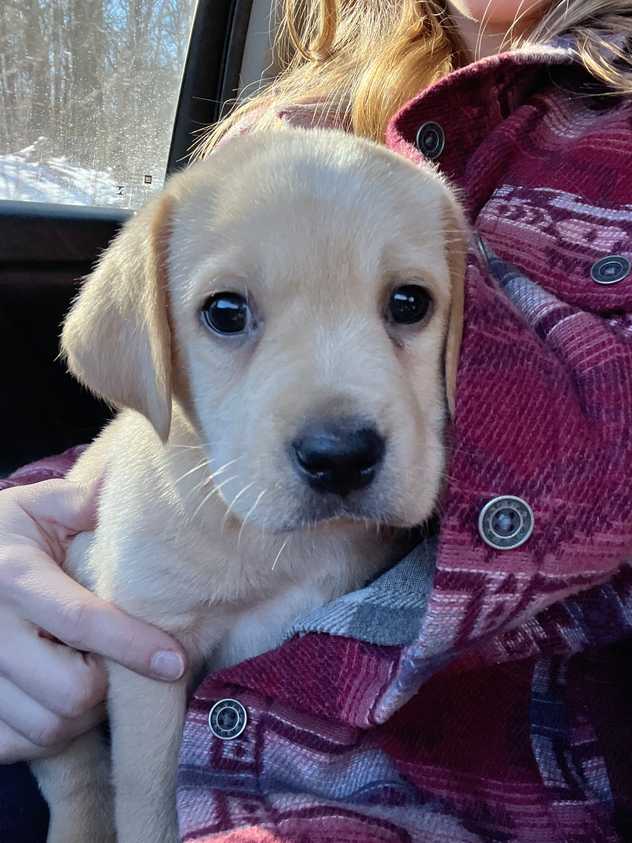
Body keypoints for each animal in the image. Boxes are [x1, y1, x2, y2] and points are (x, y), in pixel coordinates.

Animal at [32, 127, 466, 843]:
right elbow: (148, 793)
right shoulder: (151, 653)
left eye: (410, 303)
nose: (340, 457)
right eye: (226, 313)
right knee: (76, 777)